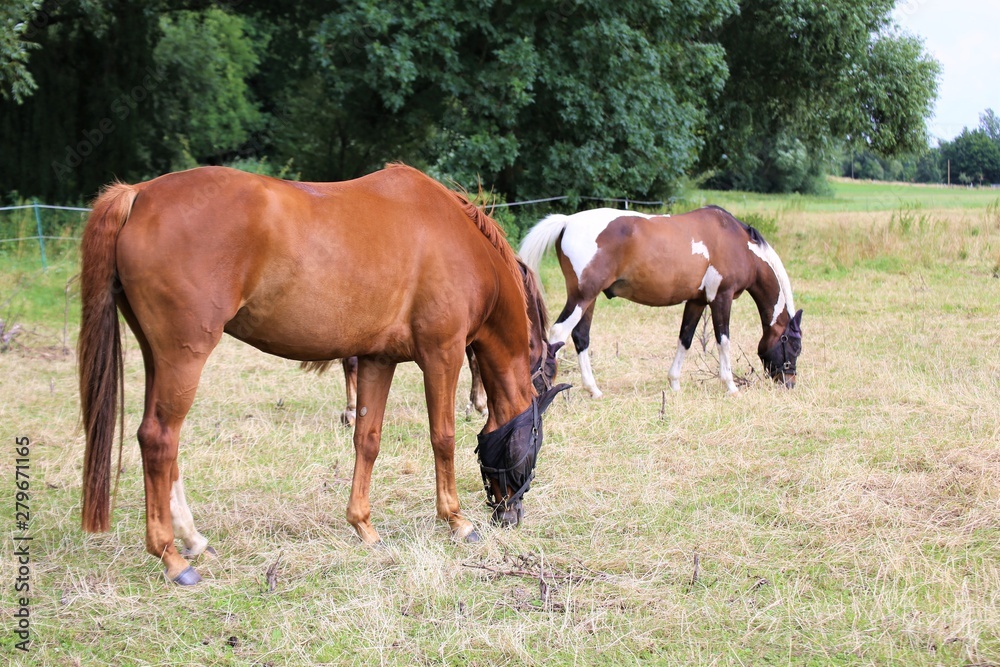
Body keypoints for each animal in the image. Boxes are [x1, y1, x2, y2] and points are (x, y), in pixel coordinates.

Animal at [79, 163, 568, 584]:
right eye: (537, 436)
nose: (512, 515)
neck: (460, 242)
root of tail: (139, 195)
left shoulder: (377, 359)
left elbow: (367, 440)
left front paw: (363, 526)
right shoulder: (442, 355)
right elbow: (442, 437)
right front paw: (457, 521)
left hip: (157, 356)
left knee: (165, 444)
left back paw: (194, 540)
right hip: (185, 356)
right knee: (159, 439)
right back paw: (173, 558)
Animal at [520, 206, 800, 400]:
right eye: (794, 346)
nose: (790, 383)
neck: (736, 243)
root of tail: (567, 221)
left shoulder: (697, 300)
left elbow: (685, 339)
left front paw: (674, 383)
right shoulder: (721, 298)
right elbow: (724, 341)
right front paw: (730, 385)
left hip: (588, 300)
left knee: (581, 337)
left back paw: (594, 390)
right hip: (582, 297)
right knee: (559, 333)